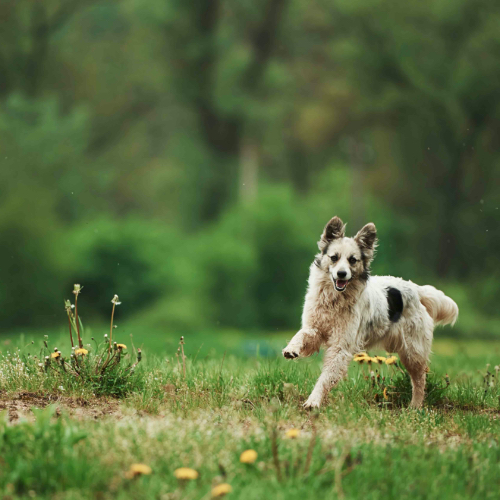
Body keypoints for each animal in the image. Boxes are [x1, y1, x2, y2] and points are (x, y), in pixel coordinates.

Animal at [282, 217, 458, 408]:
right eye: (334, 257)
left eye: (352, 260)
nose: (341, 274)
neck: (335, 300)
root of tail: (415, 289)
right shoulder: (314, 329)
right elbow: (301, 335)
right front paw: (291, 349)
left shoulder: (340, 346)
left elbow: (326, 376)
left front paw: (314, 400)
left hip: (413, 351)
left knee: (419, 380)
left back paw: (415, 407)